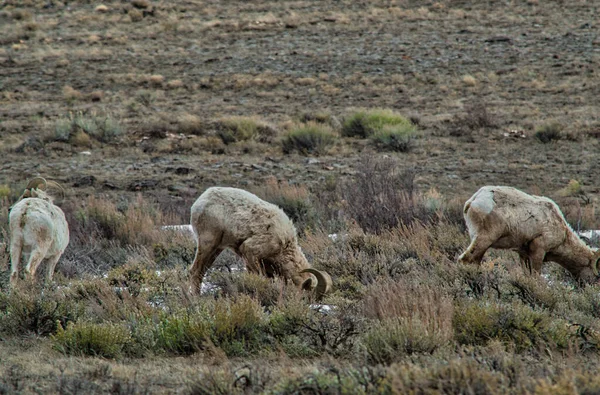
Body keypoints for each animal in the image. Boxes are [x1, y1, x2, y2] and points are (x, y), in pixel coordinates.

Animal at [189, 187, 332, 298]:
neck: (284, 245)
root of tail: (200, 202)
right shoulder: (250, 252)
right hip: (208, 244)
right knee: (195, 271)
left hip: (217, 249)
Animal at [458, 187, 596, 284]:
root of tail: (473, 201)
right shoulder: (538, 250)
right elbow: (535, 275)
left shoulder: (523, 253)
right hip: (484, 239)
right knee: (466, 259)